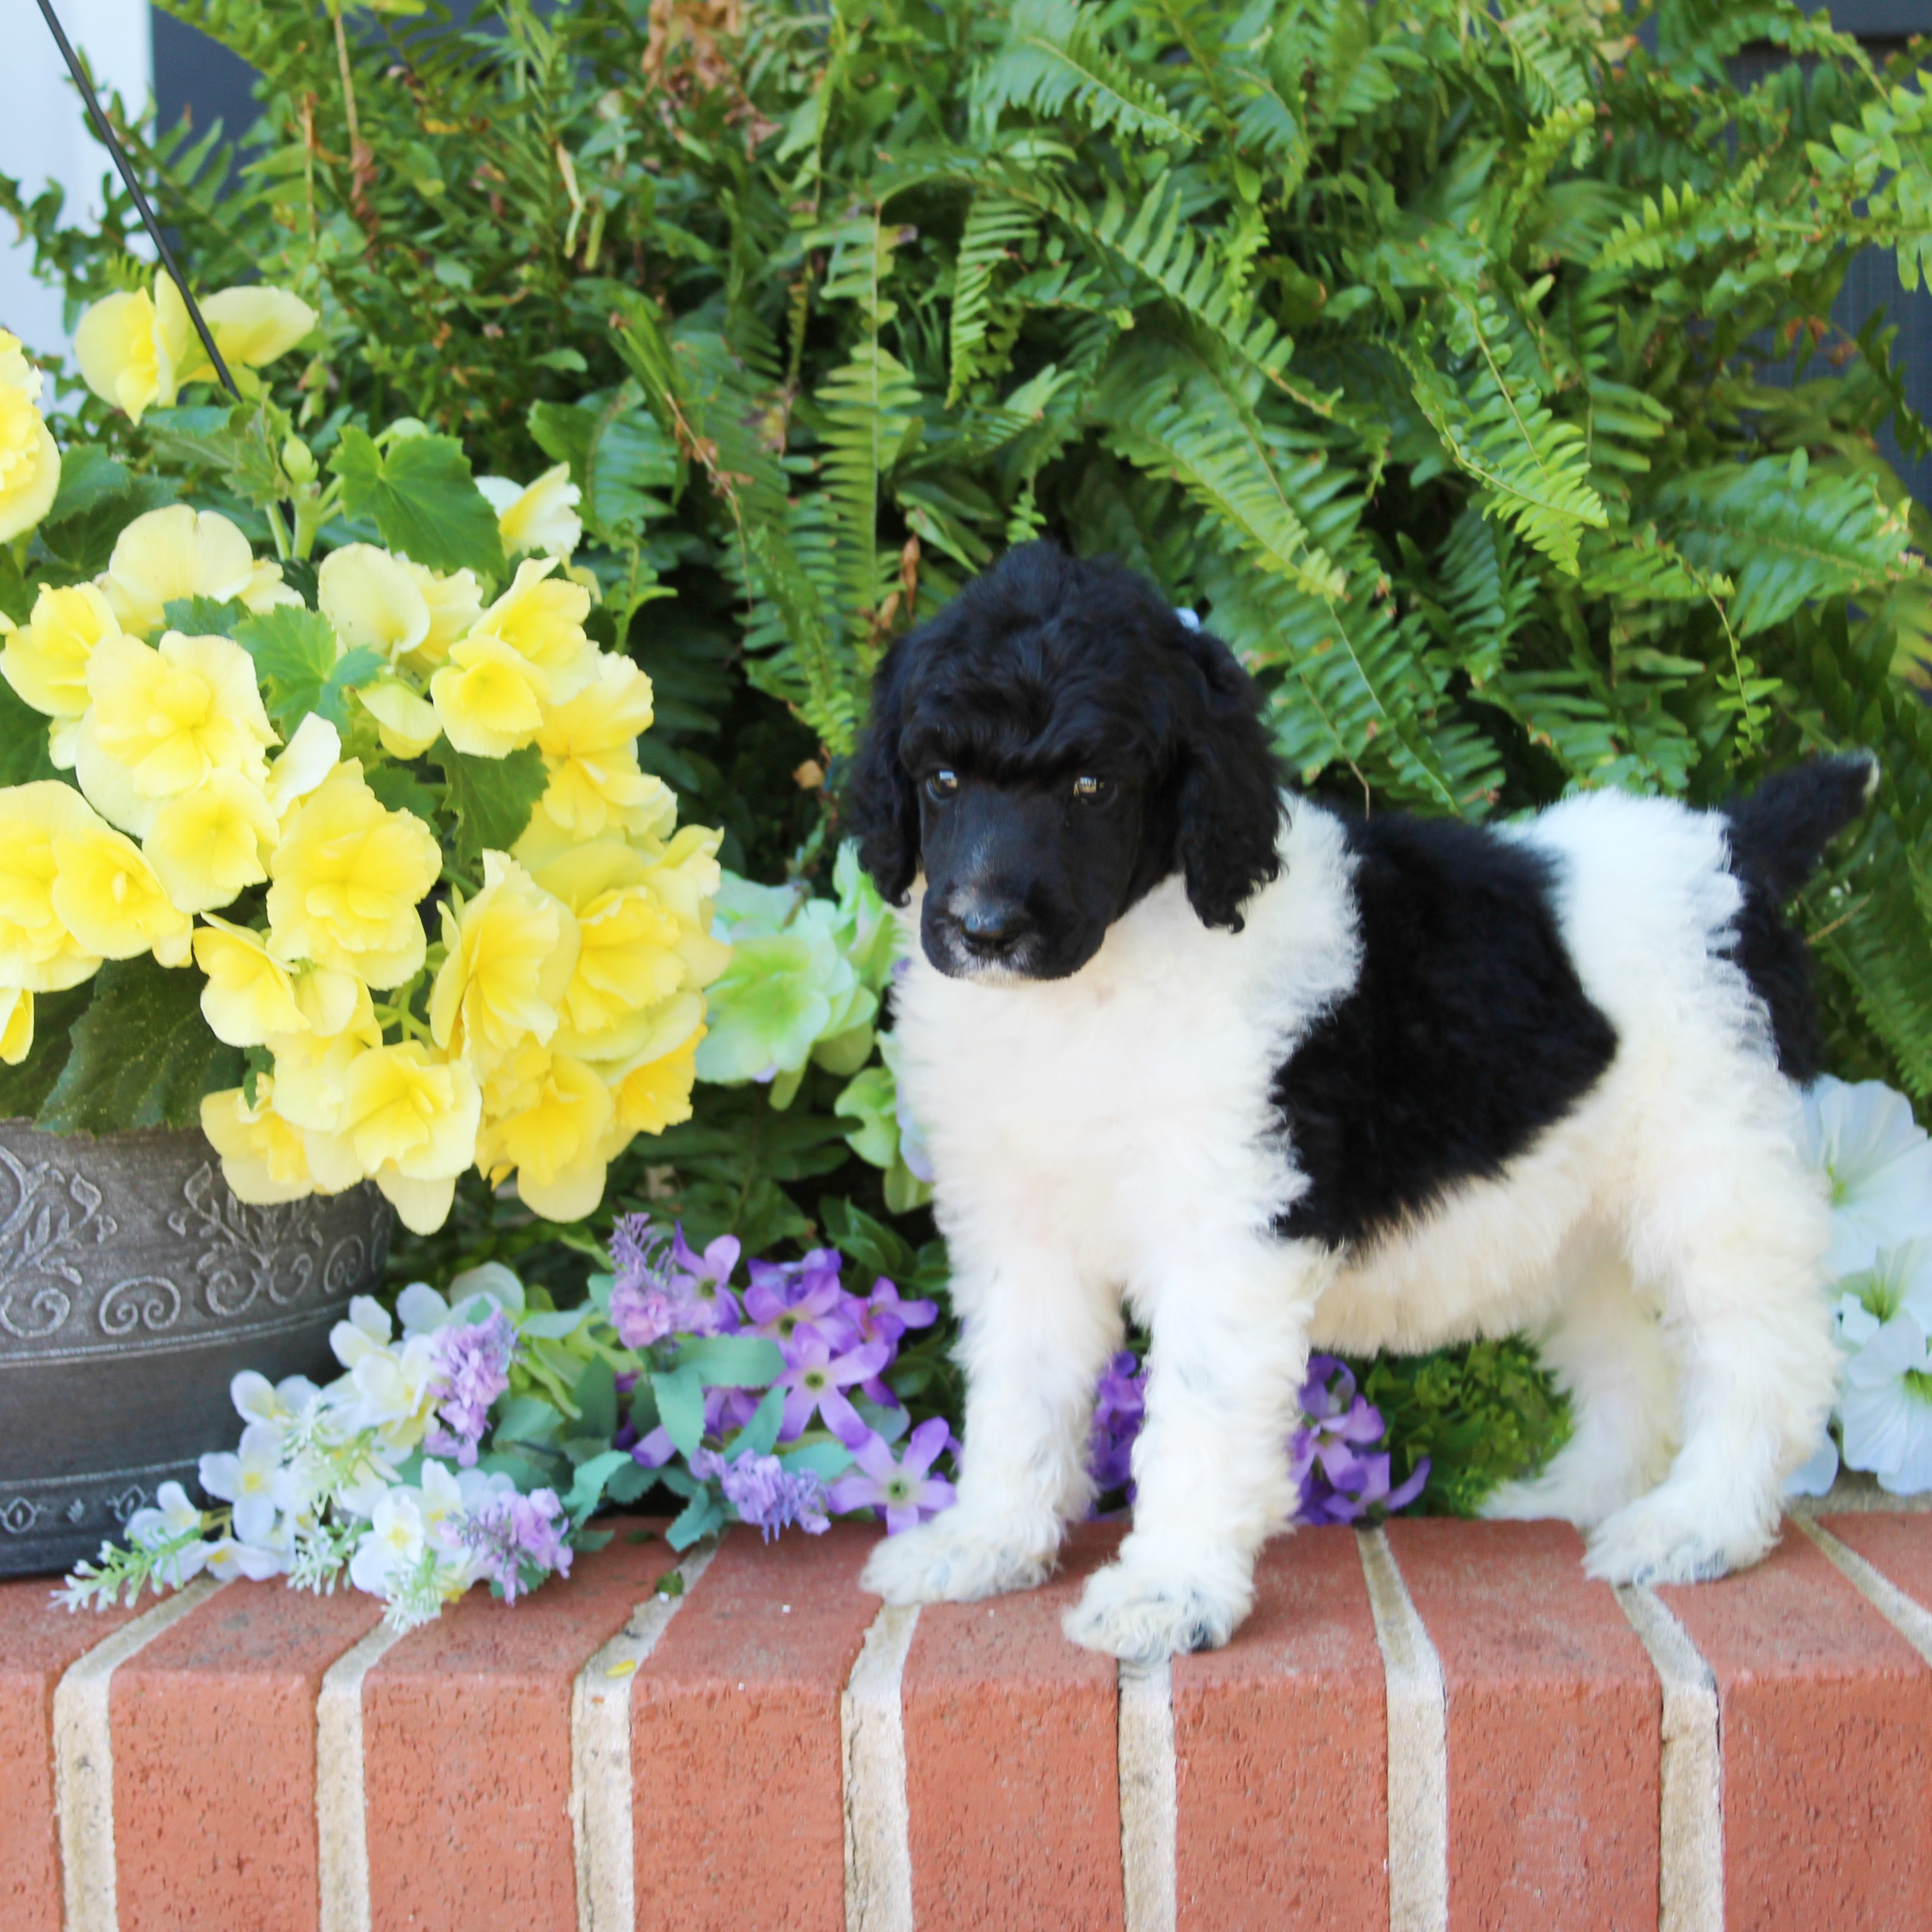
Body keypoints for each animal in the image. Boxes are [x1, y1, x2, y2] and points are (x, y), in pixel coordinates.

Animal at [842, 541, 1854, 1661]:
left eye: (1093, 785)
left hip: (1717, 1175)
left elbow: (1196, 1417)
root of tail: (1732, 848)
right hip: (1585, 1218)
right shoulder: (1023, 1234)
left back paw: (1698, 1524)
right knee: (1633, 1360)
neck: (1101, 980)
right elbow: (1018, 1396)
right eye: (942, 779)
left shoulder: (1229, 1231)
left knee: (1763, 1360)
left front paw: (1169, 1591)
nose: (983, 929)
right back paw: (1583, 1496)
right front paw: (984, 1544)